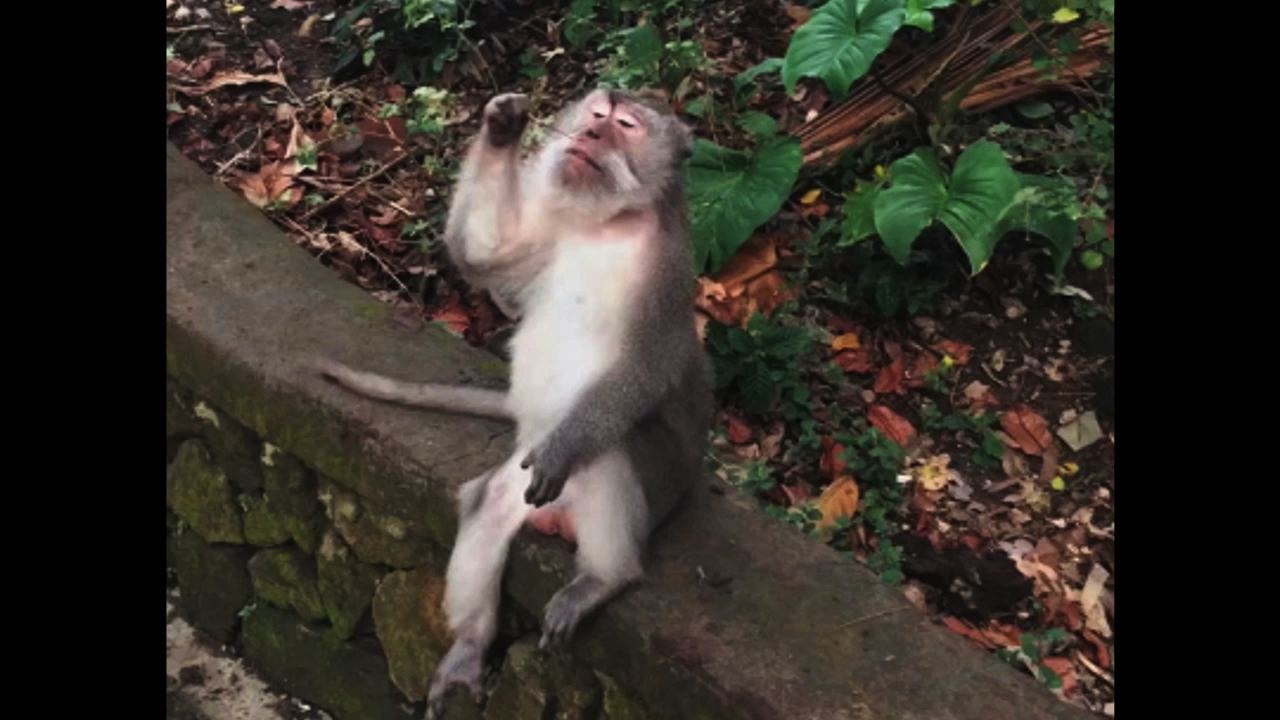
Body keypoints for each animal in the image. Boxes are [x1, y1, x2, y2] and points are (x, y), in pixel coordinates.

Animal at [315, 88, 712, 718]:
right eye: (597, 115)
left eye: (625, 126)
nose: (591, 136)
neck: (610, 224)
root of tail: (558, 519)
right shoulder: (551, 221)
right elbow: (482, 255)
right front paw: (503, 126)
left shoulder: (666, 274)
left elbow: (645, 372)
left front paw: (569, 447)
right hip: (519, 491)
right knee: (487, 503)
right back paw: (469, 647)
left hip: (641, 490)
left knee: (612, 449)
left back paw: (604, 578)